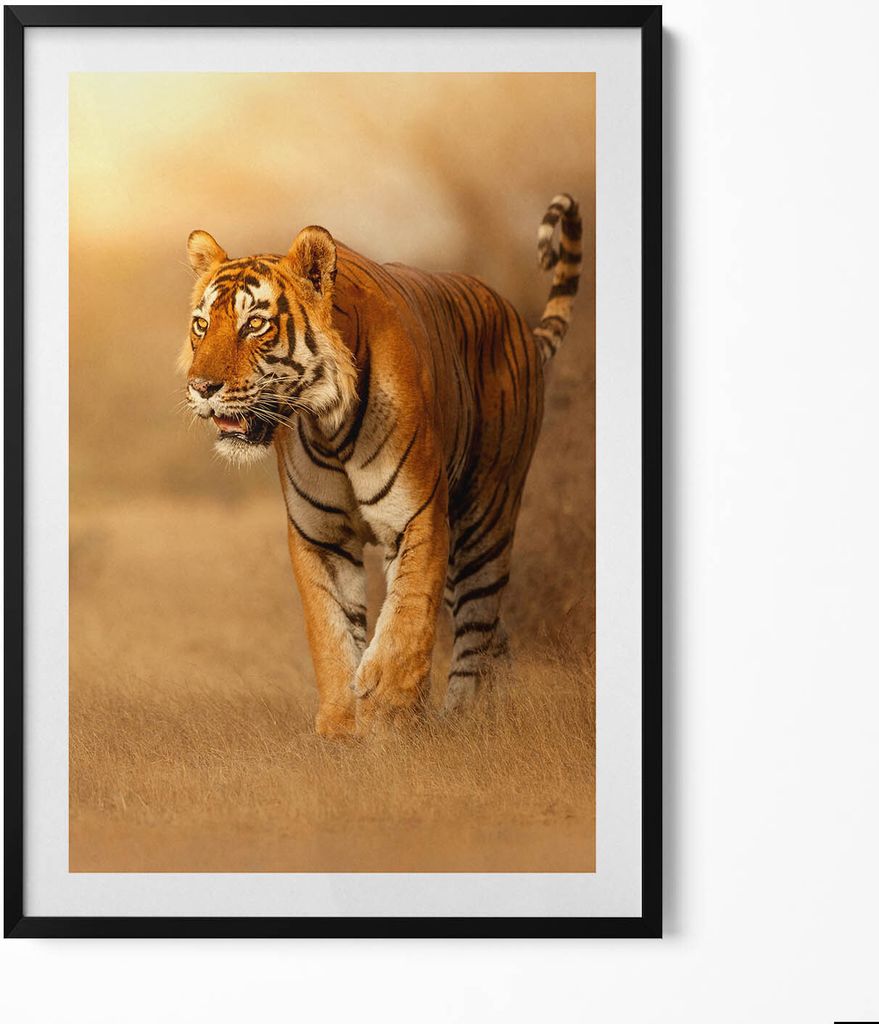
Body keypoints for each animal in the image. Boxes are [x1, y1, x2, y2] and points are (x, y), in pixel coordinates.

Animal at [182, 194, 582, 737]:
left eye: (255, 324)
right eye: (202, 325)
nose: (201, 387)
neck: (328, 424)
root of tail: (518, 320)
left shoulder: (418, 517)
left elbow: (407, 618)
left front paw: (388, 715)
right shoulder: (320, 536)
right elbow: (330, 631)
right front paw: (340, 726)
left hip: (485, 520)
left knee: (477, 627)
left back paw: (463, 719)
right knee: (495, 636)